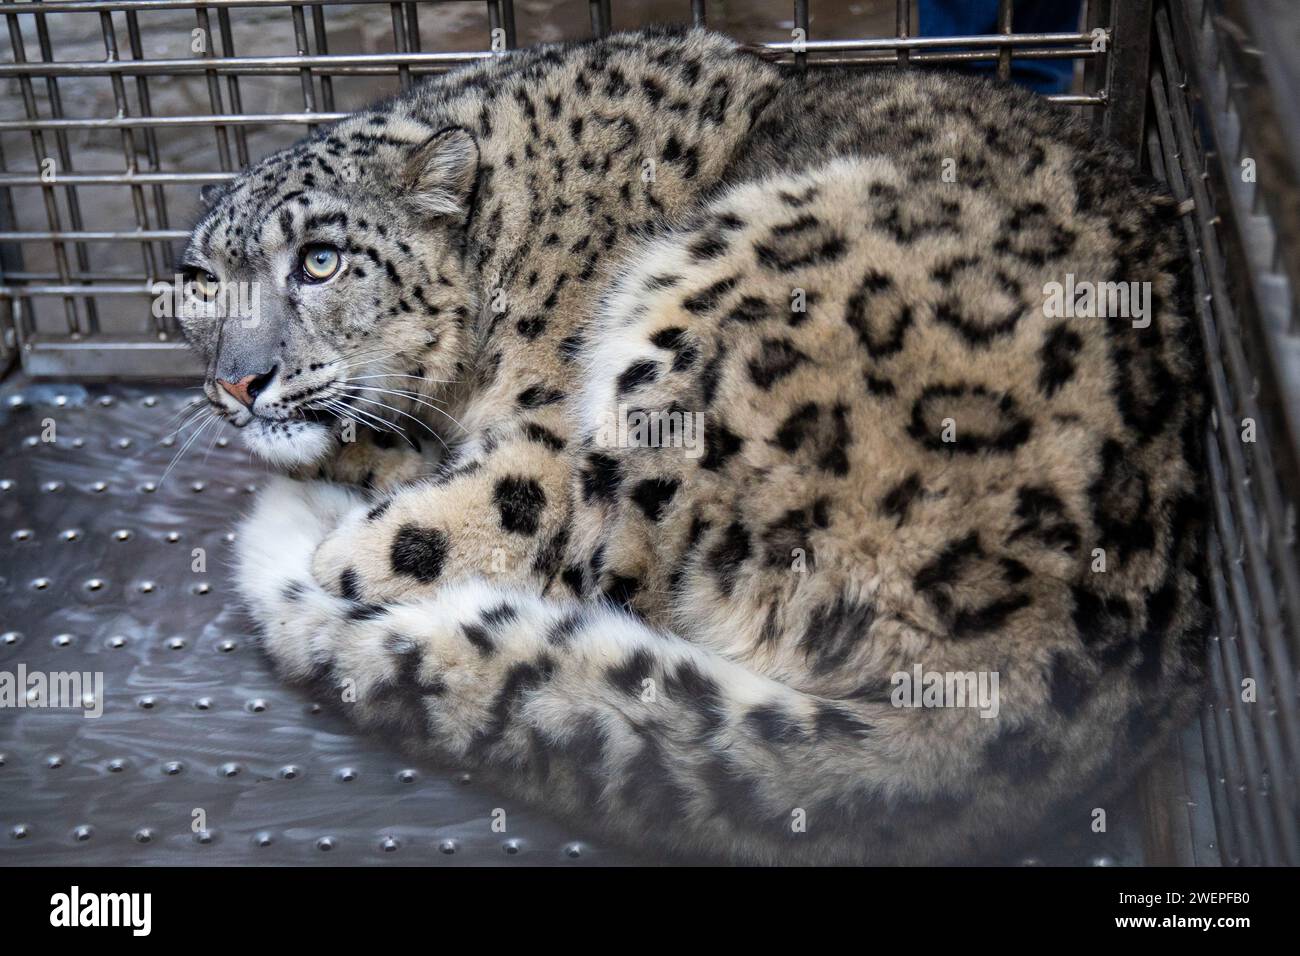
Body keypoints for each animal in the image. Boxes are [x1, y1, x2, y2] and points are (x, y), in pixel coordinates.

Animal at [180, 26, 1206, 863]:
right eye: (196, 283)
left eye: (320, 259)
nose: (239, 381)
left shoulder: (540, 444)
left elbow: (428, 531)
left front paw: (348, 519)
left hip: (699, 322)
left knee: (605, 578)